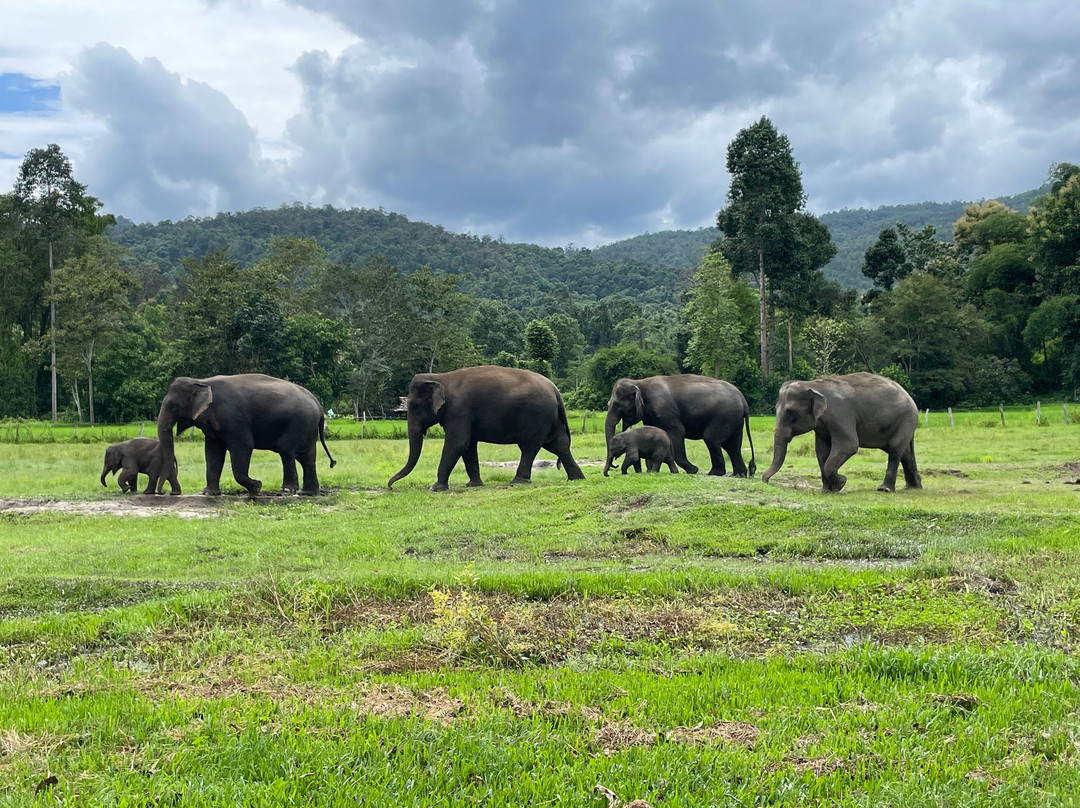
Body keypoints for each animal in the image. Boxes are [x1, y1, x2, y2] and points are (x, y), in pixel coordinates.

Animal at [157, 374, 335, 496]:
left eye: (174, 405)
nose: (168, 492)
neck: (202, 381)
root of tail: (318, 405)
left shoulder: (233, 418)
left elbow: (243, 446)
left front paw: (257, 487)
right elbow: (212, 452)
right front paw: (207, 493)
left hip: (299, 423)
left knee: (286, 450)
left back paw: (287, 490)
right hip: (307, 426)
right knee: (307, 458)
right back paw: (308, 493)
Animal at [387, 365, 586, 492]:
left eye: (414, 406)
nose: (390, 487)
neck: (440, 377)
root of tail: (556, 391)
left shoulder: (458, 411)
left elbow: (457, 443)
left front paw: (435, 488)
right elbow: (468, 446)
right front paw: (473, 485)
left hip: (536, 417)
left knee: (529, 447)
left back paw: (518, 482)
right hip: (549, 419)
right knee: (559, 445)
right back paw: (577, 478)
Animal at [605, 375, 756, 477]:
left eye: (617, 405)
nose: (614, 465)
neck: (639, 382)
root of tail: (743, 401)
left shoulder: (666, 410)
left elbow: (677, 433)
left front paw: (693, 470)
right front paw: (649, 471)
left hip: (724, 416)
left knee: (712, 440)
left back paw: (714, 473)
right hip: (734, 419)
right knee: (732, 445)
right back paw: (738, 475)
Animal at [761, 372, 922, 493]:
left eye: (789, 412)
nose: (765, 480)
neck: (813, 385)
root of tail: (909, 397)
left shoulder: (841, 415)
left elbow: (848, 446)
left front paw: (841, 483)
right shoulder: (821, 425)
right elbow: (821, 451)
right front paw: (827, 491)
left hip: (906, 419)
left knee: (895, 449)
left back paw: (885, 489)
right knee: (905, 453)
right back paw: (913, 487)